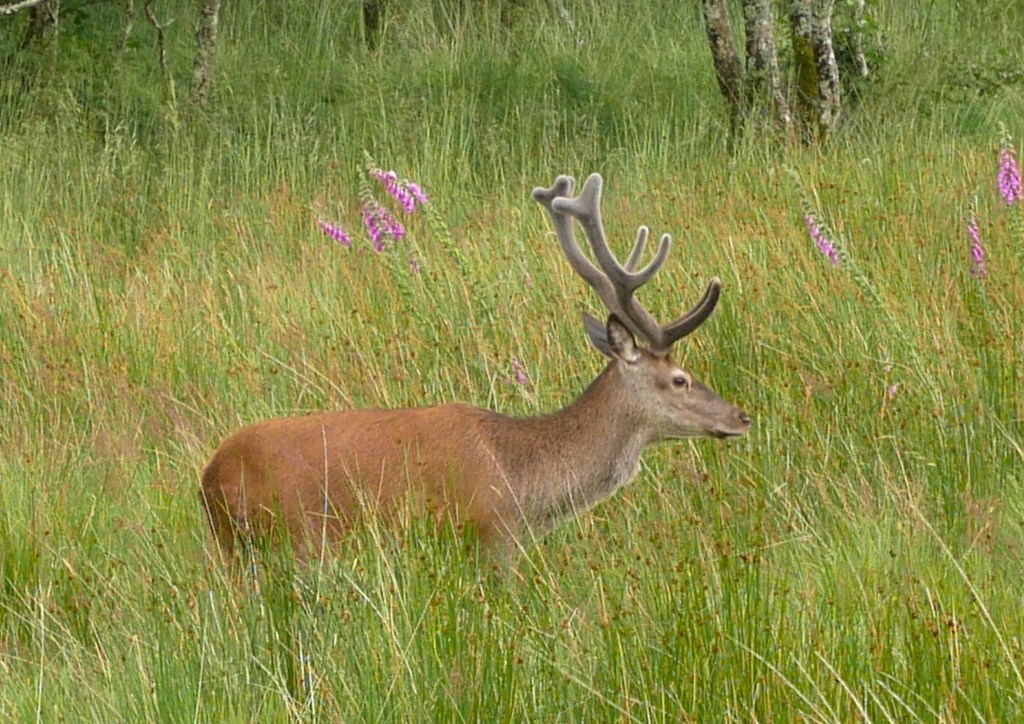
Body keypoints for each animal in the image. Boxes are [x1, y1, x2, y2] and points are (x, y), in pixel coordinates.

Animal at [199, 173, 751, 561]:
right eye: (679, 379)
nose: (741, 416)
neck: (525, 481)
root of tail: (208, 478)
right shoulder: (492, 536)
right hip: (288, 538)